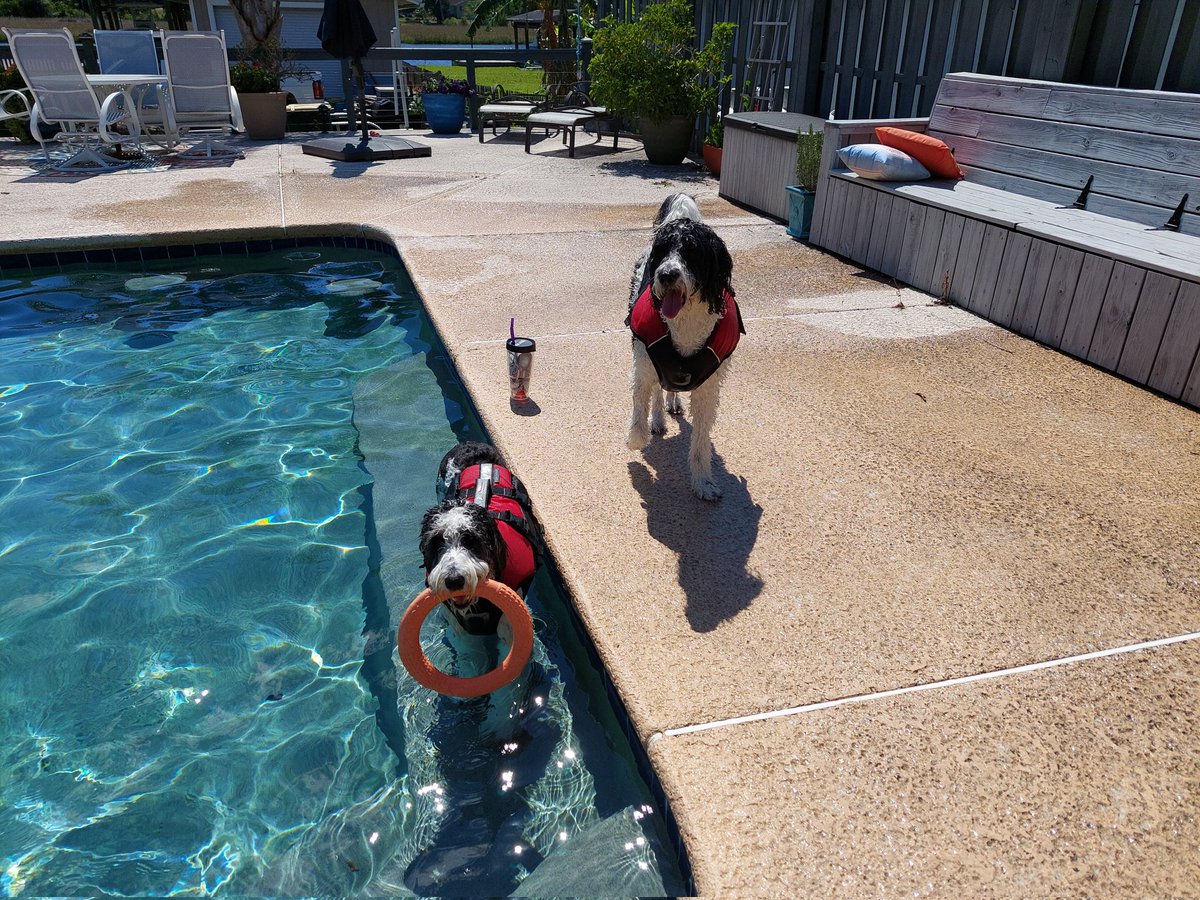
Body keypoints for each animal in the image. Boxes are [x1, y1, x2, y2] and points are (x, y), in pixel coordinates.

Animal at [628, 194, 739, 501]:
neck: (684, 323)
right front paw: (637, 438)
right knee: (657, 389)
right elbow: (640, 408)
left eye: (692, 251)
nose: (666, 275)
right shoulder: (643, 364)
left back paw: (673, 403)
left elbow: (701, 442)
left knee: (669, 388)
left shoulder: (708, 389)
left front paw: (703, 482)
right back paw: (657, 419)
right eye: (663, 250)